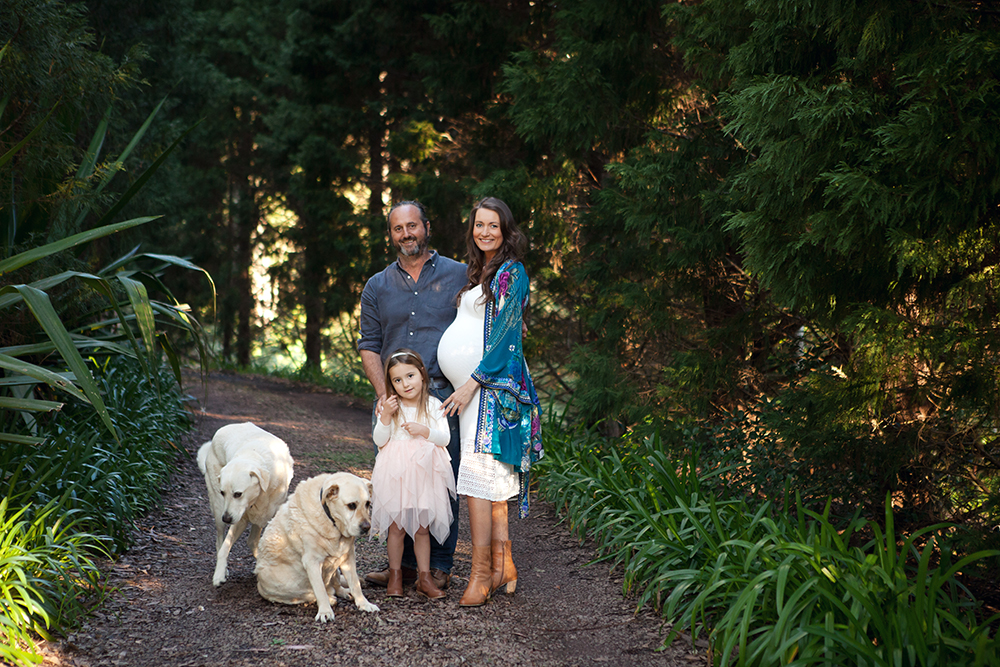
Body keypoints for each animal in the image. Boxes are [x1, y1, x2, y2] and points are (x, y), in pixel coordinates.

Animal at [197, 426, 292, 588]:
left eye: (238, 494)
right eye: (223, 492)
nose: (227, 518)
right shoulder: (239, 520)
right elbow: (225, 547)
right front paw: (219, 574)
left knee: (252, 540)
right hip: (219, 510)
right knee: (220, 541)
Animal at [256, 472, 380, 624]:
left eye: (367, 504)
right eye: (351, 505)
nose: (367, 527)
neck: (332, 521)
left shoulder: (347, 557)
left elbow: (355, 584)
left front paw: (364, 604)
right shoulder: (312, 562)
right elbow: (320, 589)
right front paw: (325, 612)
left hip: (335, 569)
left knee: (335, 584)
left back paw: (345, 592)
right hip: (289, 586)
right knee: (317, 592)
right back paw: (331, 599)